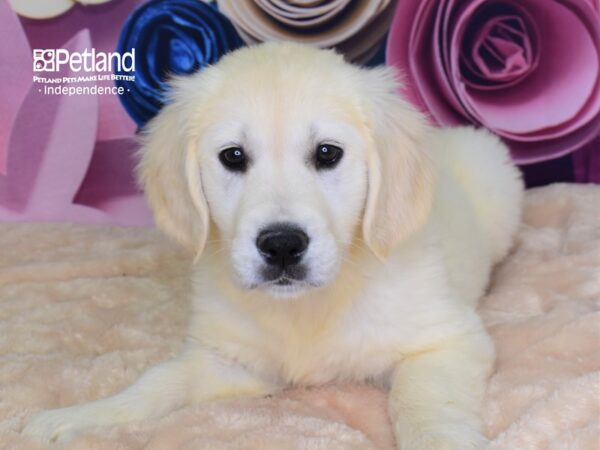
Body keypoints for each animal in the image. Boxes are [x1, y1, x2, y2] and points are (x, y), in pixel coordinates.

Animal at [23, 43, 524, 450]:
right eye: (233, 156)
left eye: (327, 153)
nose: (282, 245)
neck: (307, 308)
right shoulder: (230, 362)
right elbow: (159, 380)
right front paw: (78, 416)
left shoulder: (447, 340)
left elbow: (422, 401)